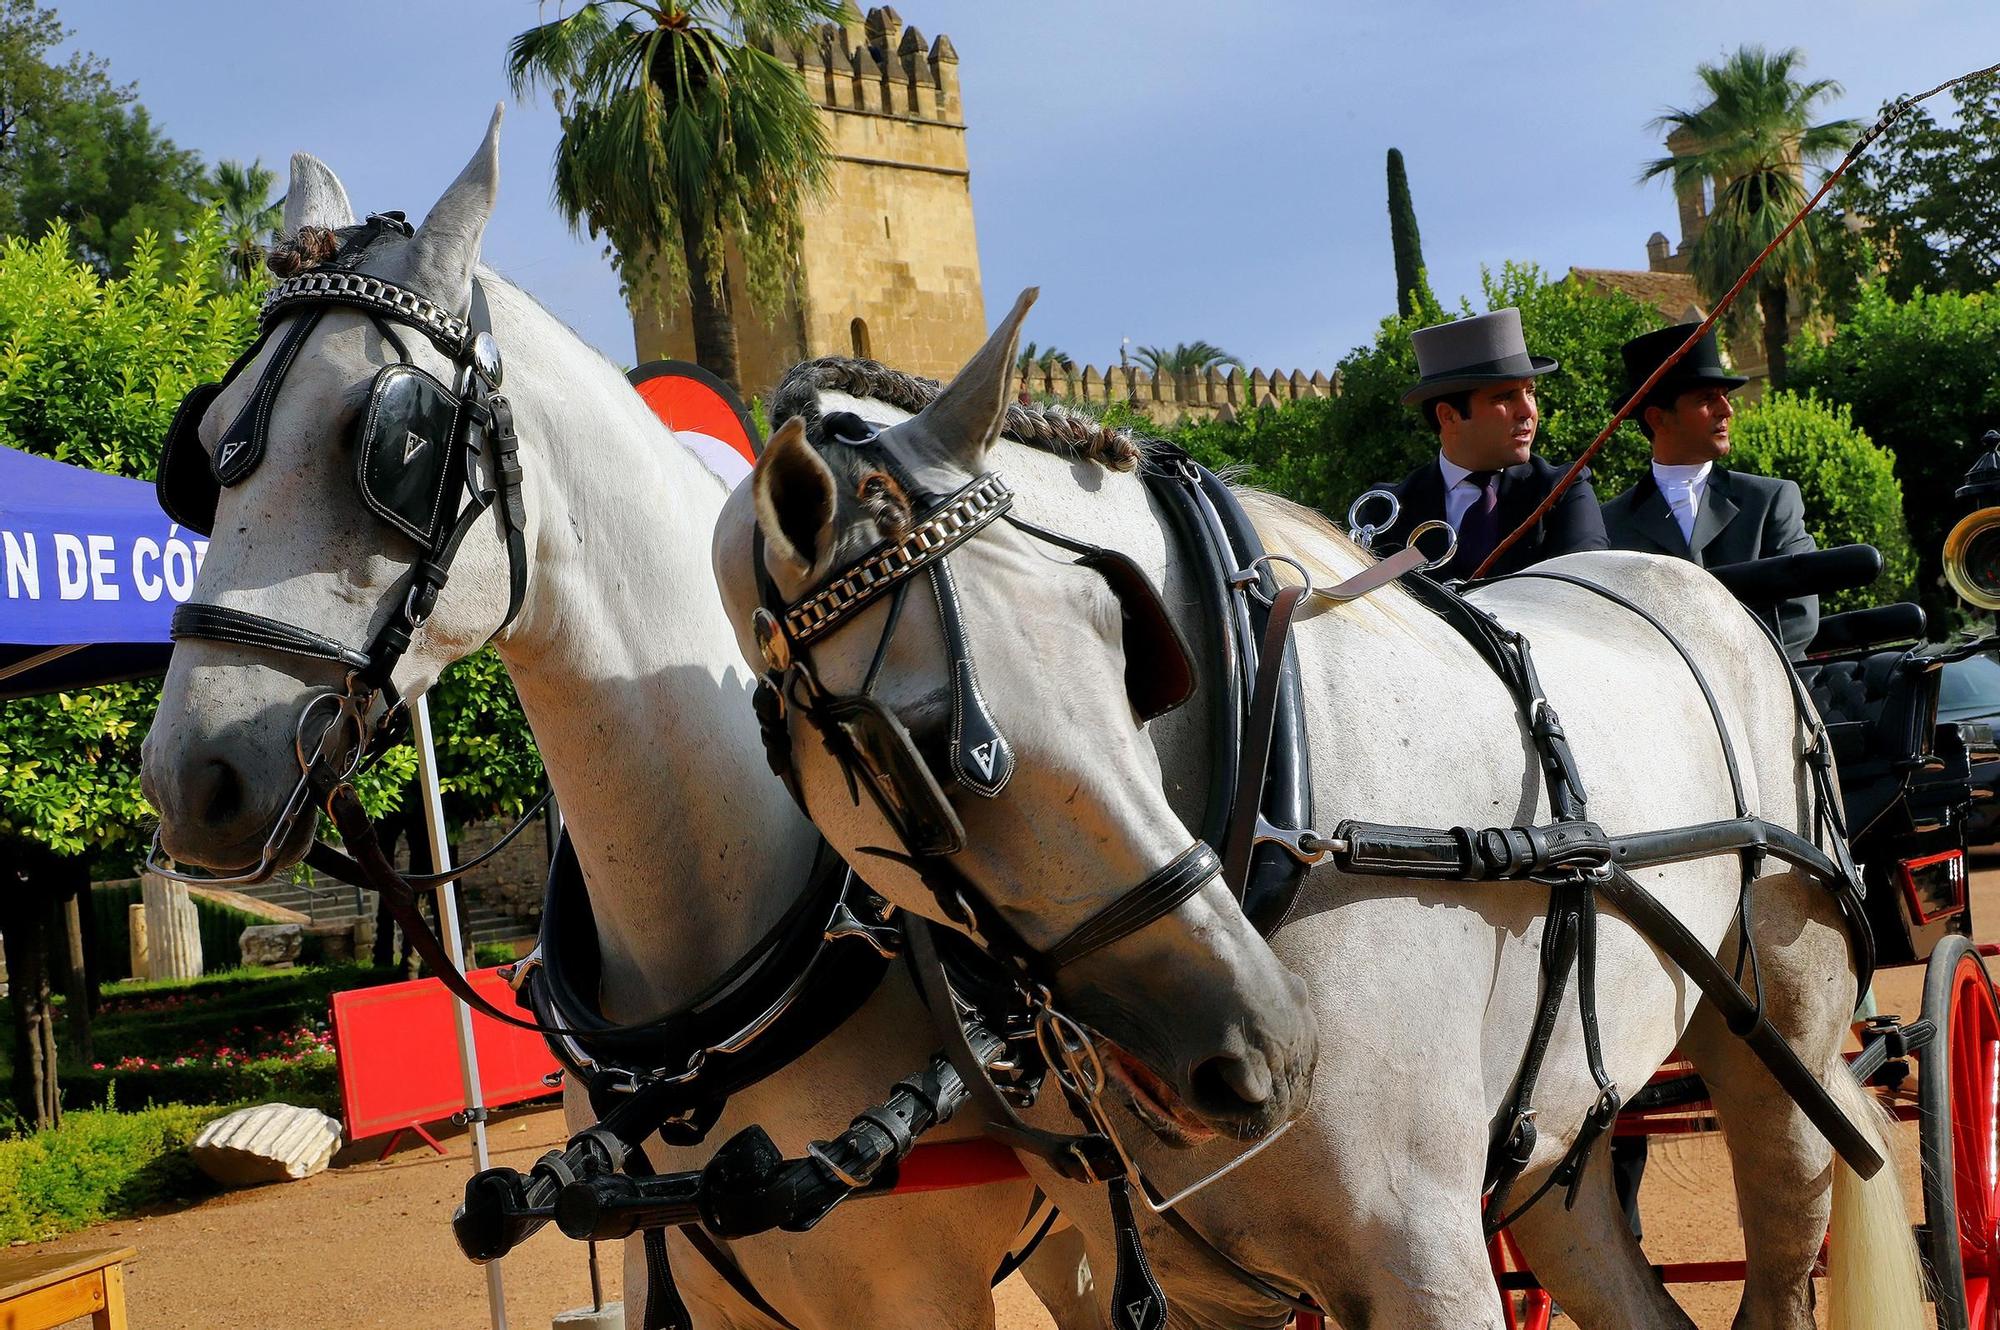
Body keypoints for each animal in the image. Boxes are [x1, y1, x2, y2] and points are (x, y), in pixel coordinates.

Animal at [716, 294, 1920, 1328]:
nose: (1265, 1038)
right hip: (1553, 1141)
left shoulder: (1423, 1258)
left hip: (1782, 1051)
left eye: (1125, 651)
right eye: (914, 748)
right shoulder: (1197, 1287)